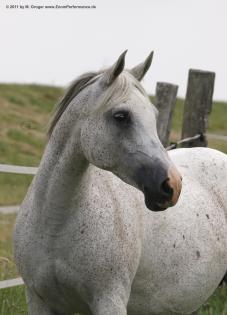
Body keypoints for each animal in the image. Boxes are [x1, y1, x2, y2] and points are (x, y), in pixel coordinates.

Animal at [13, 50, 227, 314]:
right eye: (121, 116)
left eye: (153, 116)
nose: (172, 185)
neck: (55, 225)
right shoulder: (38, 300)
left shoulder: (110, 300)